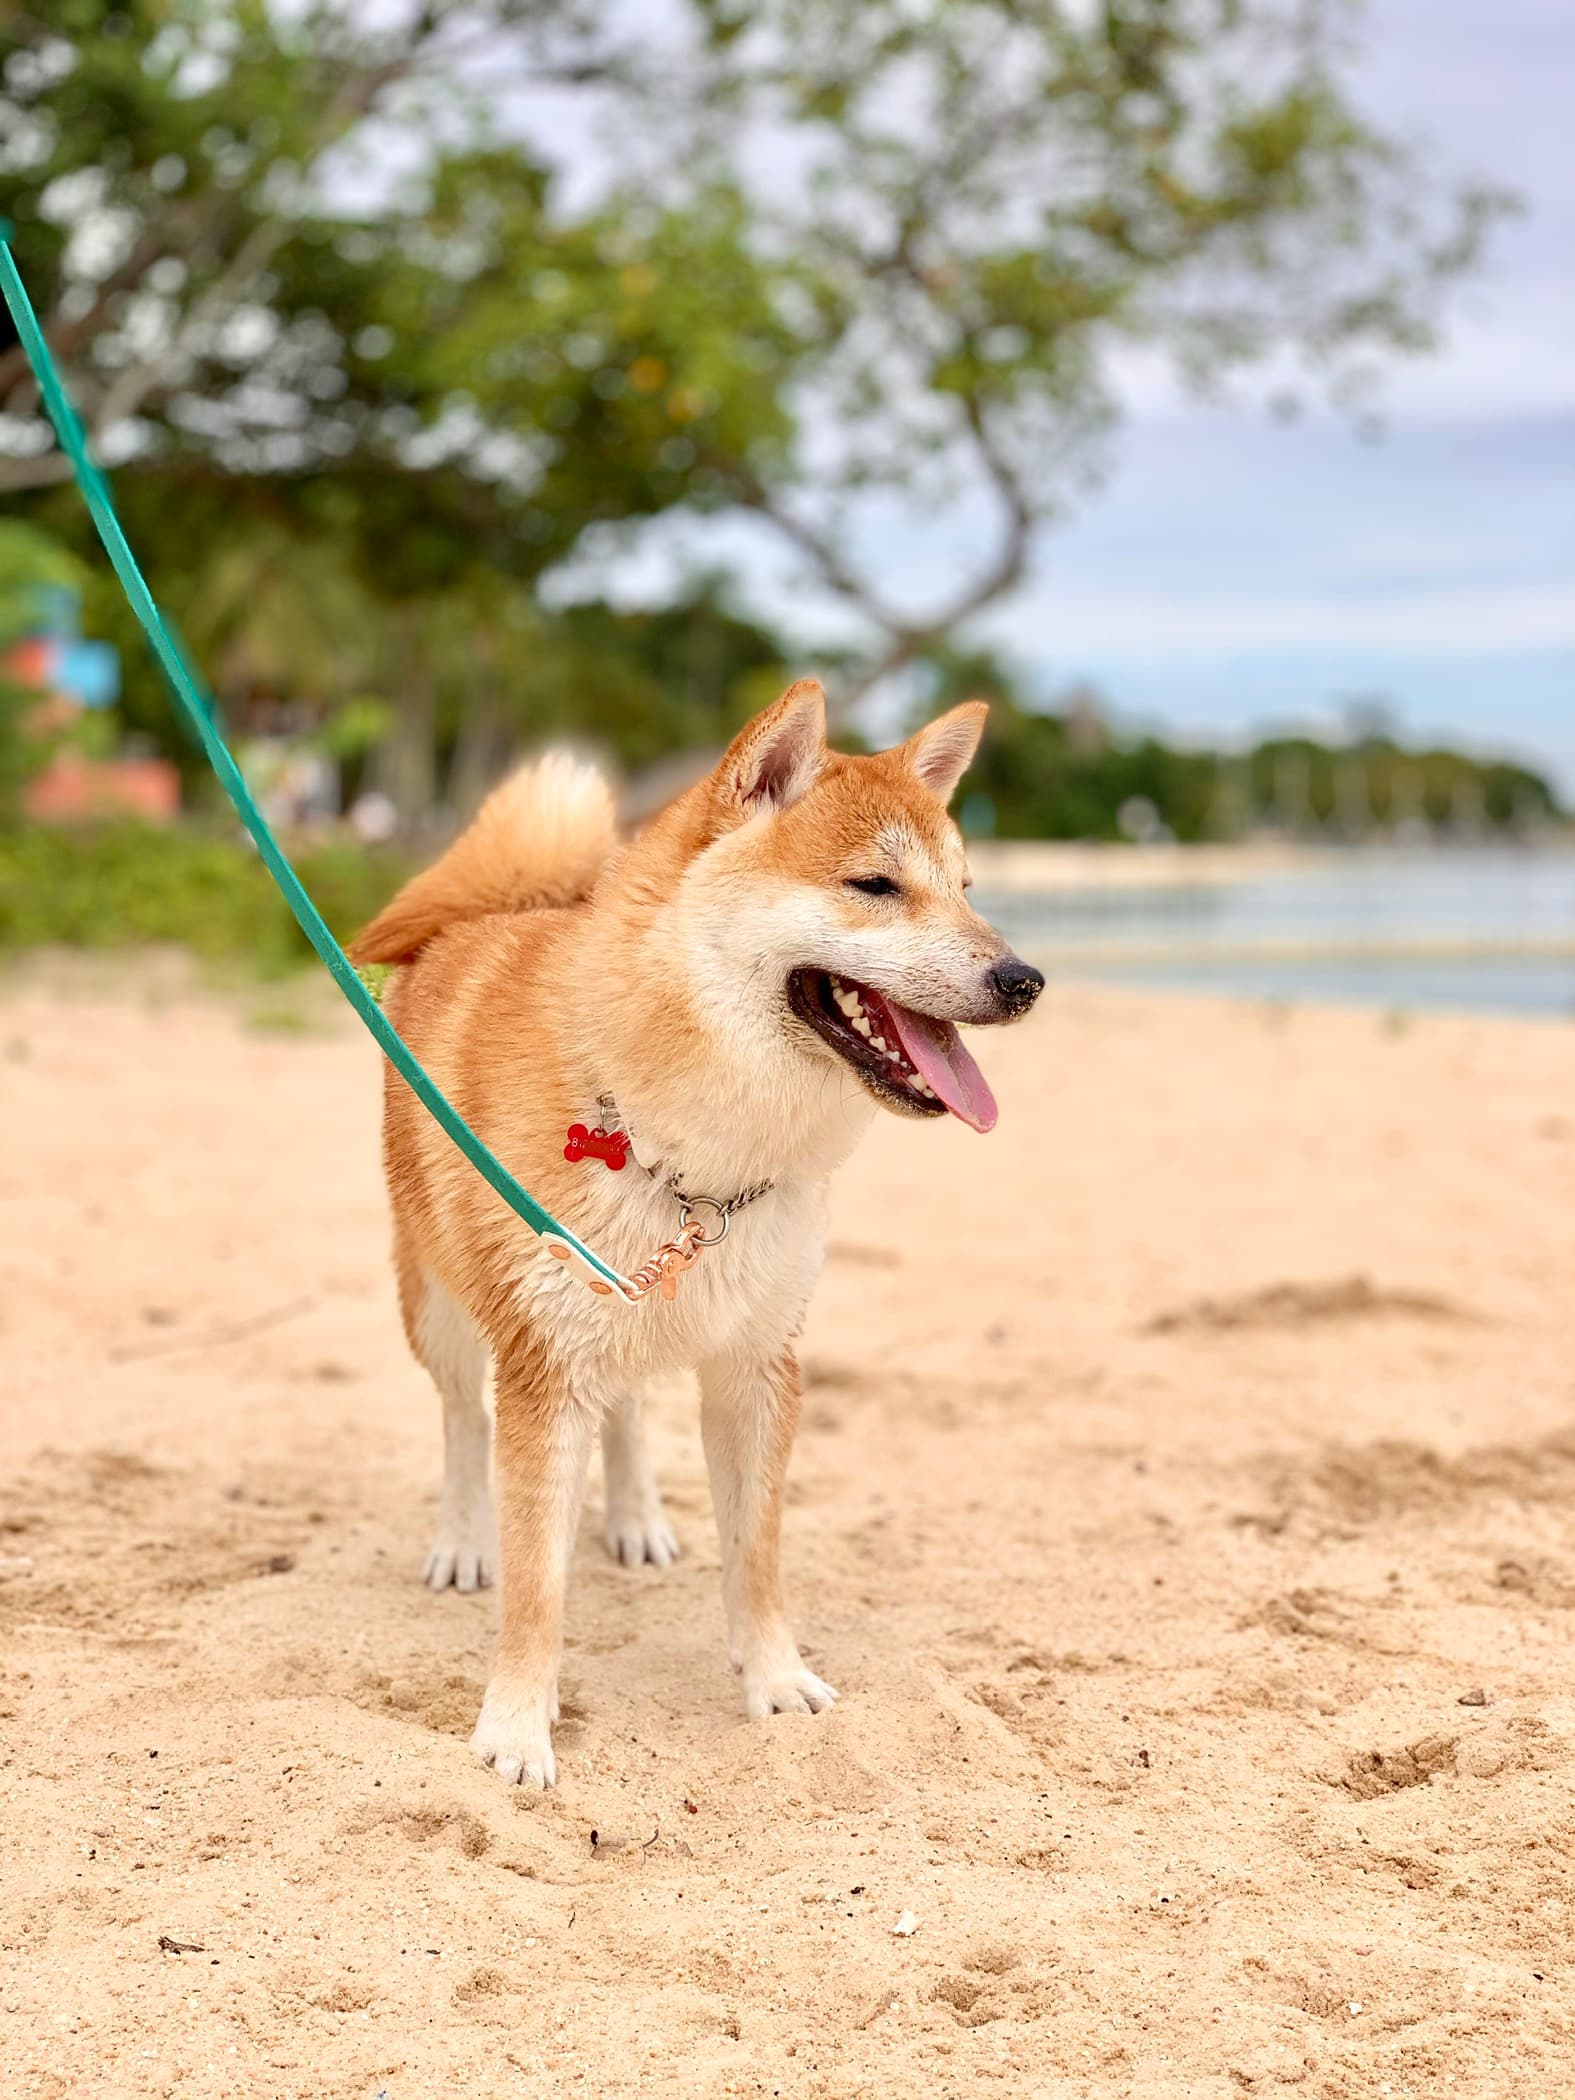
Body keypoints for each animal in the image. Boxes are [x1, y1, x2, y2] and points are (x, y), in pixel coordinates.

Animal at [350, 684, 1041, 1789]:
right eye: (875, 885)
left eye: (966, 888)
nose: (1024, 979)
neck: (691, 1156)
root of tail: (485, 911)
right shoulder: (544, 1370)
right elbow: (537, 1585)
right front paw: (516, 1727)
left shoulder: (758, 1364)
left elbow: (755, 1554)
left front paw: (775, 1679)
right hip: (444, 1305)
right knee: (461, 1421)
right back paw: (463, 1540)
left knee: (628, 1409)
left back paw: (634, 1519)